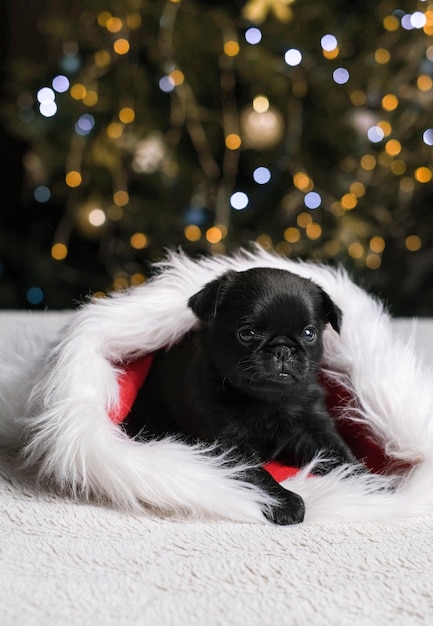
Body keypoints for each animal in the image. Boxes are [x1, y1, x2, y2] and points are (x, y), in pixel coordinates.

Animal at [125, 266, 354, 524]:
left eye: (309, 333)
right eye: (247, 333)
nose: (282, 348)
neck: (267, 400)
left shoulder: (313, 430)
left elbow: (341, 455)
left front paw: (373, 484)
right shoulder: (229, 445)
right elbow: (256, 474)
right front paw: (284, 502)